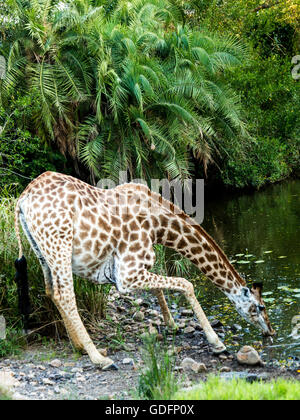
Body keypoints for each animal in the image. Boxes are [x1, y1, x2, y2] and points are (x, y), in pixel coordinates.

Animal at [14, 172, 274, 370]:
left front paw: (172, 325)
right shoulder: (127, 275)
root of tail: (22, 200)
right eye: (260, 307)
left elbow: (160, 287)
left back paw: (78, 346)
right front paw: (216, 342)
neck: (159, 225)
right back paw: (99, 358)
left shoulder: (139, 267)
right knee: (65, 294)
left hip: (43, 251)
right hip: (60, 245)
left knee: (51, 291)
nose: (270, 332)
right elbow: (186, 284)